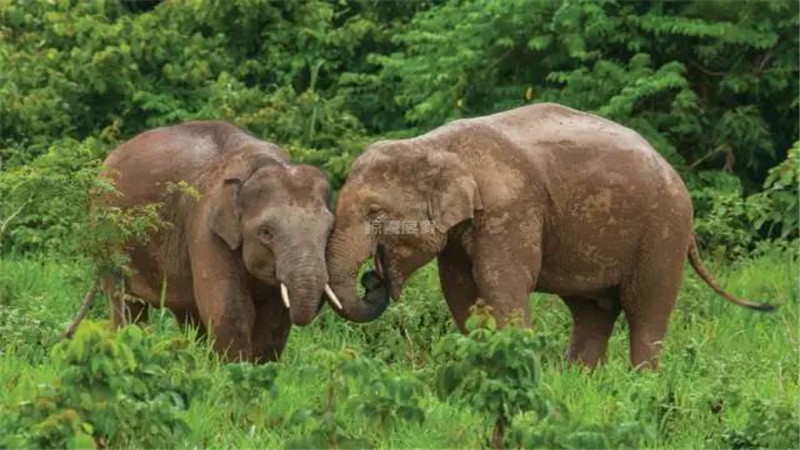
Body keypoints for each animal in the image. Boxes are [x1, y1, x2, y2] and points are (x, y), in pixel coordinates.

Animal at [100, 120, 338, 362]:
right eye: (266, 232)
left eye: (329, 231)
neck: (258, 165)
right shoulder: (206, 228)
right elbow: (230, 308)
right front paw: (235, 367)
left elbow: (275, 315)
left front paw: (262, 366)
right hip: (107, 233)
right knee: (124, 300)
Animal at [326, 103, 776, 370]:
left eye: (375, 213)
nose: (371, 278)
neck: (435, 143)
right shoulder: (461, 231)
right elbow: (460, 292)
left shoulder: (512, 209)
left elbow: (501, 283)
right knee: (592, 312)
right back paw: (582, 381)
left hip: (663, 231)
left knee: (645, 308)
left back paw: (641, 383)